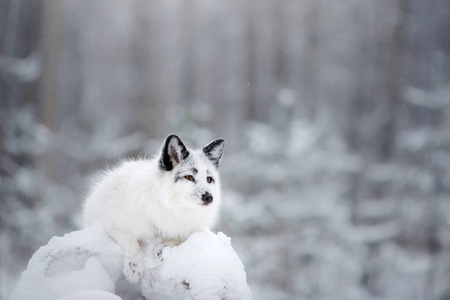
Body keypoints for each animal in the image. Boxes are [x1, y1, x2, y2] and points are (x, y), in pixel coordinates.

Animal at [81, 134, 224, 284]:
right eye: (189, 177)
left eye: (209, 179)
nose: (209, 198)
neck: (172, 208)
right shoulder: (113, 224)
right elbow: (131, 242)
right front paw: (134, 269)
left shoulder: (187, 229)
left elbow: (177, 237)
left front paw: (162, 247)